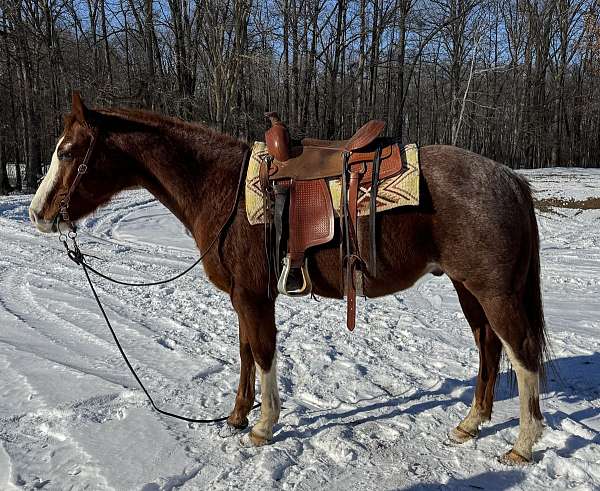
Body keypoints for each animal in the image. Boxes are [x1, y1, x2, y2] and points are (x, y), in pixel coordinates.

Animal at [29, 94, 548, 468]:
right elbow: (244, 352)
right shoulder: (243, 297)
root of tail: (509, 178)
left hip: (494, 291)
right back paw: (471, 423)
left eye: (67, 151)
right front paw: (237, 417)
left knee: (521, 353)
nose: (37, 213)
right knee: (488, 346)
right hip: (467, 288)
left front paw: (263, 426)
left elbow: (261, 352)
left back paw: (522, 443)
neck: (223, 189)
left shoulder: (254, 296)